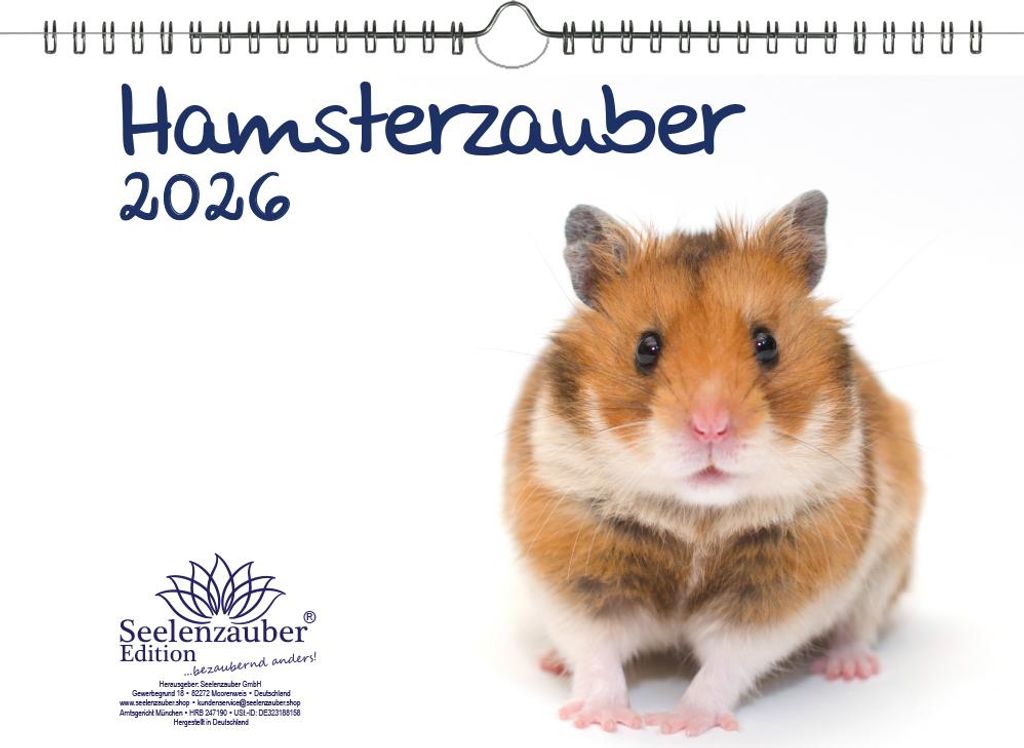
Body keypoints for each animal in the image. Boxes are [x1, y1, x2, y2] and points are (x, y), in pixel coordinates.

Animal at [504, 191, 922, 736]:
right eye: (646, 348)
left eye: (767, 343)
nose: (711, 428)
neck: (696, 517)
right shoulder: (574, 566)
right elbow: (596, 651)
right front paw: (602, 720)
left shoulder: (780, 588)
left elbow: (725, 663)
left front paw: (678, 723)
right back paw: (553, 662)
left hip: (890, 561)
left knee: (860, 624)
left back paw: (849, 668)